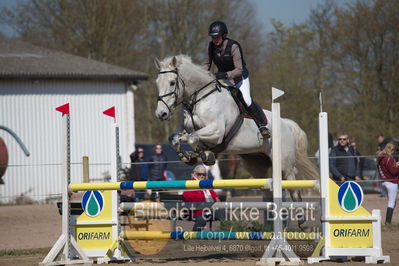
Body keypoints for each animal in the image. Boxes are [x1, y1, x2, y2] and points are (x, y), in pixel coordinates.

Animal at [153, 55, 318, 185]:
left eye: (172, 83)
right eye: (157, 83)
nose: (161, 114)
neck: (201, 97)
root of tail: (286, 124)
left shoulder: (216, 132)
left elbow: (193, 137)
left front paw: (204, 155)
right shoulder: (188, 130)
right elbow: (176, 138)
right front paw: (188, 156)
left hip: (284, 165)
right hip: (256, 162)